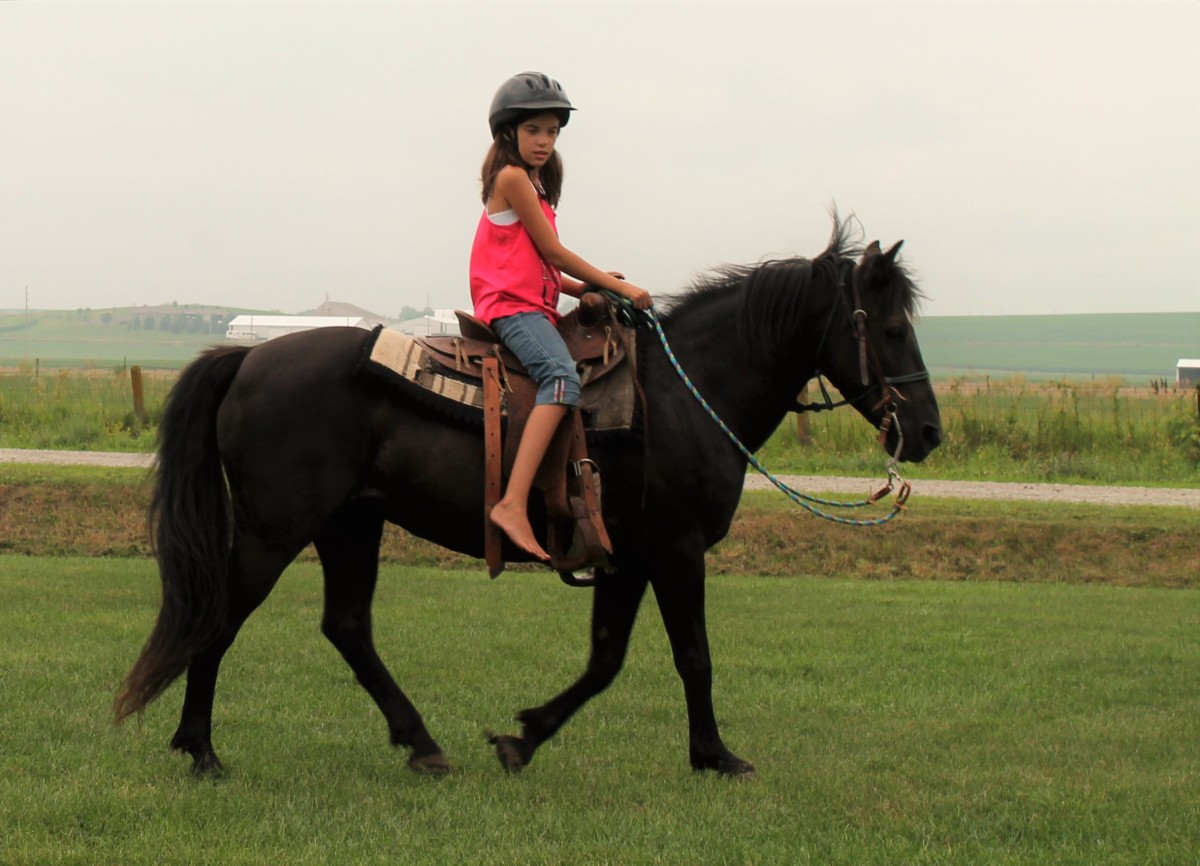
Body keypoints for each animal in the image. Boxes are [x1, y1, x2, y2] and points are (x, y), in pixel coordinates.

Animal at [114, 219, 936, 772]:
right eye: (892, 326)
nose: (926, 430)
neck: (683, 395)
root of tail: (248, 357)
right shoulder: (676, 550)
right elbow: (693, 655)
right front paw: (714, 755)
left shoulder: (627, 555)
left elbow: (605, 660)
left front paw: (523, 737)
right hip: (276, 528)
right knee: (222, 615)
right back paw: (200, 748)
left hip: (351, 523)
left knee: (346, 625)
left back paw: (421, 744)